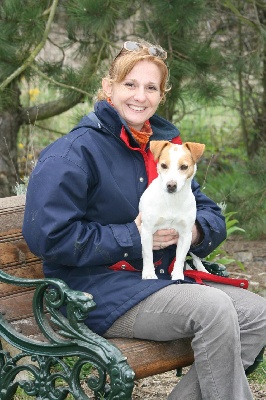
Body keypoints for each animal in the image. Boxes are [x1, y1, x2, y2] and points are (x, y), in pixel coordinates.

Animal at [140, 141, 209, 282]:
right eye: (163, 165)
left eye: (184, 167)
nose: (171, 185)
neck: (172, 201)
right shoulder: (147, 231)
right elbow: (148, 254)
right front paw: (149, 273)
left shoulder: (185, 234)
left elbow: (180, 258)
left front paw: (178, 275)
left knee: (195, 256)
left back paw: (202, 271)